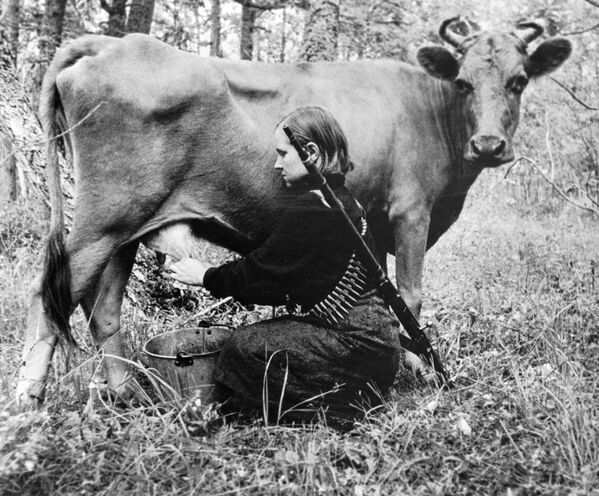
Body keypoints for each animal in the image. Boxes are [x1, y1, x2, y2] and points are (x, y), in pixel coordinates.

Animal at [16, 18, 576, 406]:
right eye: (463, 82)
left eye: (519, 80)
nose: (489, 144)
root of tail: (113, 43)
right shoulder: (411, 212)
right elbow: (411, 294)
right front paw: (415, 370)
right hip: (102, 220)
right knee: (49, 298)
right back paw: (27, 410)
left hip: (127, 226)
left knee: (103, 308)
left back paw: (126, 394)